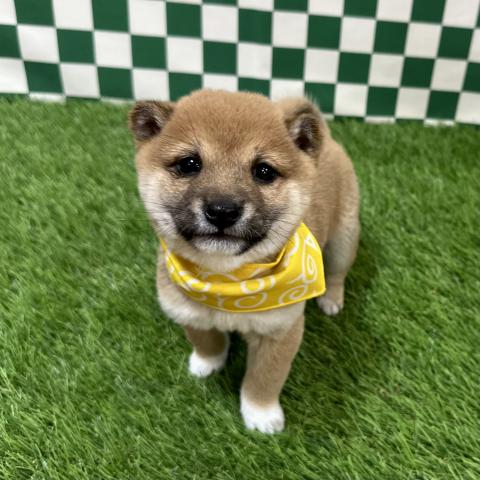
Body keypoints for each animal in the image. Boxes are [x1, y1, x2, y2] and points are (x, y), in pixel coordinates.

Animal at [128, 90, 359, 434]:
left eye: (264, 171)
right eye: (189, 164)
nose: (222, 210)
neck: (226, 281)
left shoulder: (280, 332)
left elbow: (264, 379)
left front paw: (260, 415)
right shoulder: (188, 311)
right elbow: (206, 341)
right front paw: (207, 363)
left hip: (344, 239)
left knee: (336, 274)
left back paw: (331, 299)